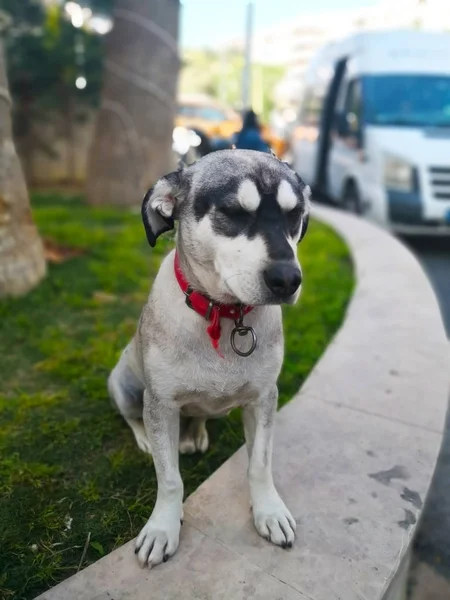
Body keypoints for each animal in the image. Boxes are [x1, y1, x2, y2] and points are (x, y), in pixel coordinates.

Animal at [108, 149, 312, 568]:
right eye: (233, 212)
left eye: (295, 214)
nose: (287, 279)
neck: (223, 314)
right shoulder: (161, 403)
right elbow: (170, 479)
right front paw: (162, 528)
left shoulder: (263, 398)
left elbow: (259, 464)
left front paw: (268, 511)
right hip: (123, 384)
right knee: (132, 416)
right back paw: (147, 439)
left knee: (201, 412)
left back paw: (196, 432)